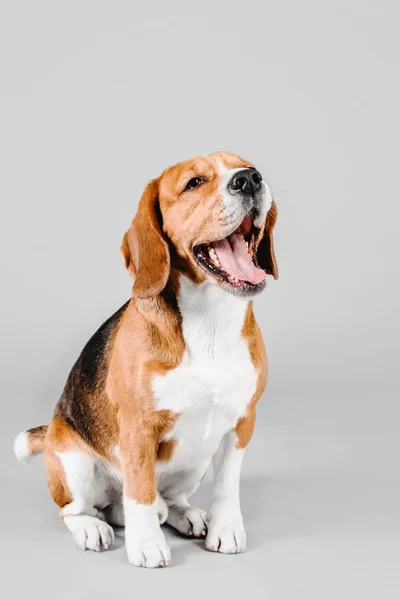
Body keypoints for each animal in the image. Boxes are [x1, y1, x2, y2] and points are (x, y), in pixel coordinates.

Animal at [13, 150, 278, 568]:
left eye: (249, 167)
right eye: (194, 183)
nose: (249, 179)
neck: (211, 321)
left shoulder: (241, 423)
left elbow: (226, 486)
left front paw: (225, 528)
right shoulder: (138, 429)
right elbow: (139, 491)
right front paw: (147, 544)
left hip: (196, 460)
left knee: (162, 500)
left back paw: (184, 515)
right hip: (75, 464)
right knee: (81, 510)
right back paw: (93, 527)